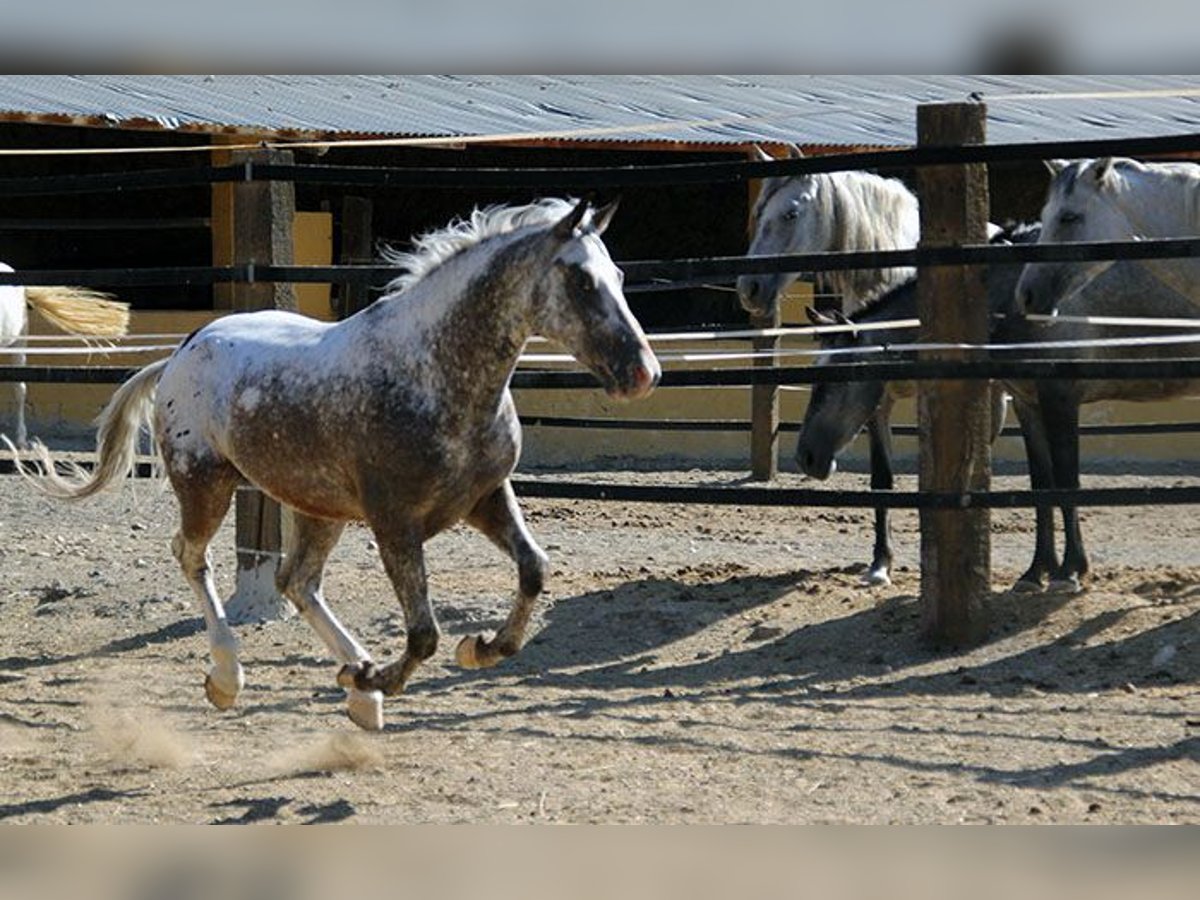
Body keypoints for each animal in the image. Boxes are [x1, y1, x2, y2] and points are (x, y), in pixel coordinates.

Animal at [14, 196, 662, 734]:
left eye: (619, 276)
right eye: (579, 279)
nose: (643, 372)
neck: (433, 374)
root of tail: (178, 354)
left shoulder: (484, 498)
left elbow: (534, 569)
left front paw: (476, 648)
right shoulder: (393, 520)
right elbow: (423, 634)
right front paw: (387, 675)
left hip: (317, 508)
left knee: (296, 581)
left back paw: (356, 686)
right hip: (205, 482)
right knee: (193, 557)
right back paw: (232, 678)